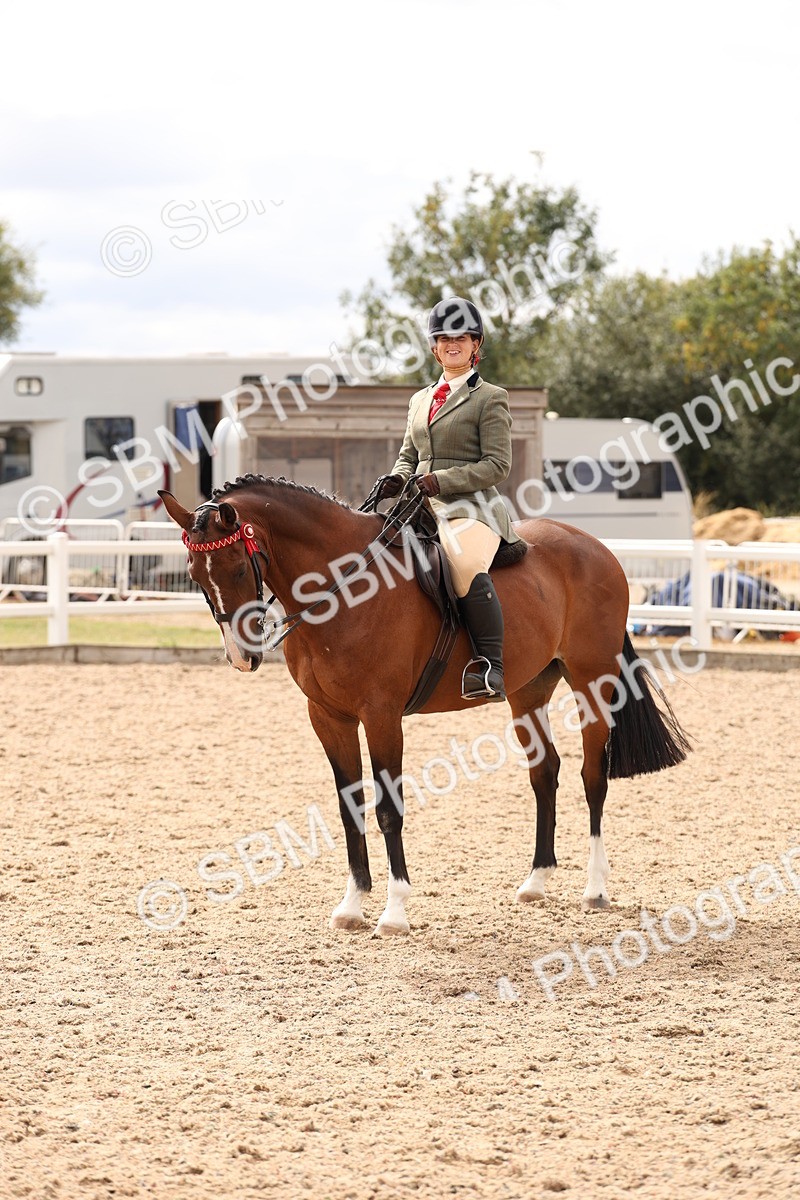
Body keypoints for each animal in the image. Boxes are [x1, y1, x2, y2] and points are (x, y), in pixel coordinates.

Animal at [159, 476, 689, 936]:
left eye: (235, 567)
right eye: (193, 574)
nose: (241, 656)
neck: (343, 588)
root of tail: (598, 548)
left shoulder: (381, 715)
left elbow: (388, 809)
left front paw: (394, 912)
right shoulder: (328, 717)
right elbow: (350, 806)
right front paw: (352, 905)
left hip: (592, 681)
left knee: (592, 776)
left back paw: (595, 889)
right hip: (528, 691)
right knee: (545, 773)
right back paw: (536, 881)